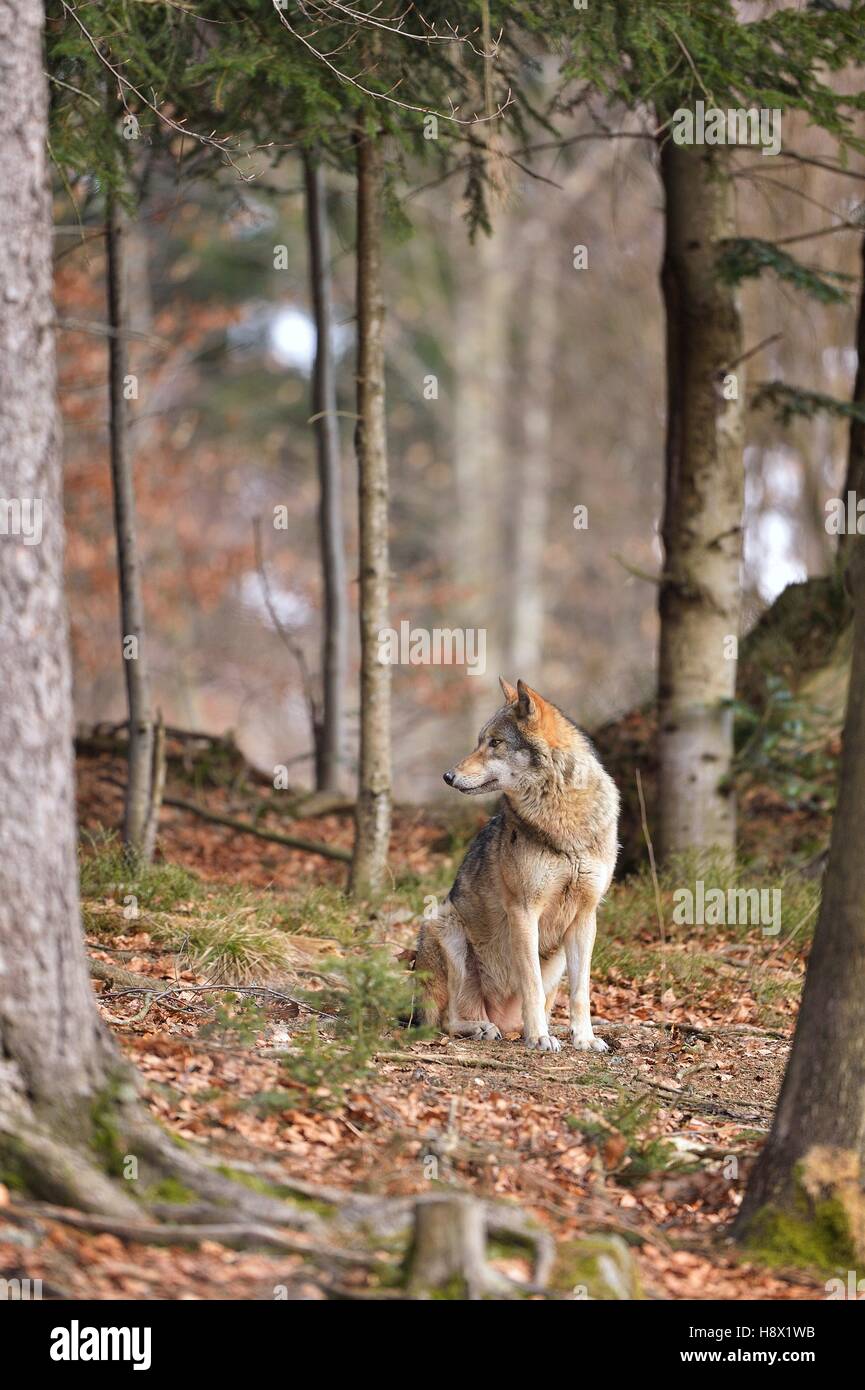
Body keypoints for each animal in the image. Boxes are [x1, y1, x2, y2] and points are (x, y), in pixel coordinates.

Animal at [416, 679, 619, 1052]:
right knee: (445, 1020)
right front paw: (539, 1037)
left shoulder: (586, 917)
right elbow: (531, 984)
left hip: (557, 960)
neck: (563, 819)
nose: (447, 776)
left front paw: (584, 1038)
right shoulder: (524, 912)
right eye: (480, 741)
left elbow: (581, 992)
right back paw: (482, 1028)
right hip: (445, 928)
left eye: (495, 743)